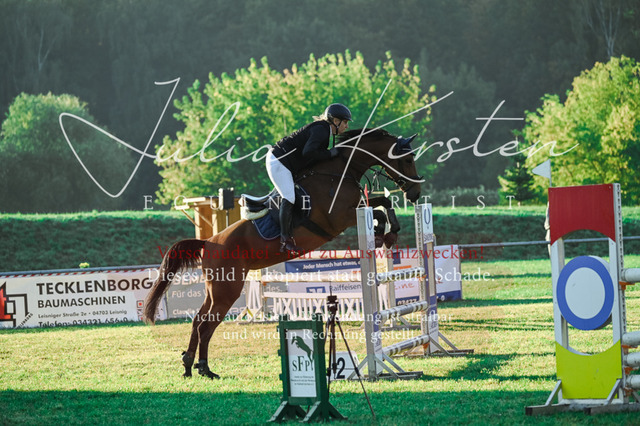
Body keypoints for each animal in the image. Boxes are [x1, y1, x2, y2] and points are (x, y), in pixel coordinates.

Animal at [143, 128, 423, 379]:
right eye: (408, 159)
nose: (415, 193)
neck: (339, 171)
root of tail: (209, 242)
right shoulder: (341, 217)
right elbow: (378, 210)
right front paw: (384, 233)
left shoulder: (354, 207)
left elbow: (383, 203)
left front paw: (387, 232)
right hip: (227, 289)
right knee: (206, 325)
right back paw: (203, 368)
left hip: (217, 289)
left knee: (198, 321)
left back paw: (191, 366)